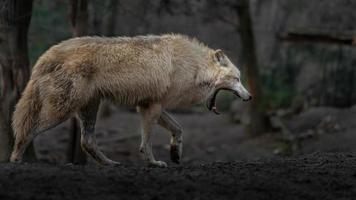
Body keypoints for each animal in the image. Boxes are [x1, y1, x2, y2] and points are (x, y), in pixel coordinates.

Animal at [9, 34, 252, 167]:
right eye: (238, 79)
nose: (250, 97)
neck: (193, 67)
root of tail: (47, 54)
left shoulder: (150, 104)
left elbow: (178, 129)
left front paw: (175, 153)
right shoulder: (151, 107)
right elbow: (147, 143)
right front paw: (154, 163)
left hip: (88, 108)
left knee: (87, 142)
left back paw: (110, 163)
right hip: (61, 111)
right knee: (26, 131)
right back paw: (15, 159)